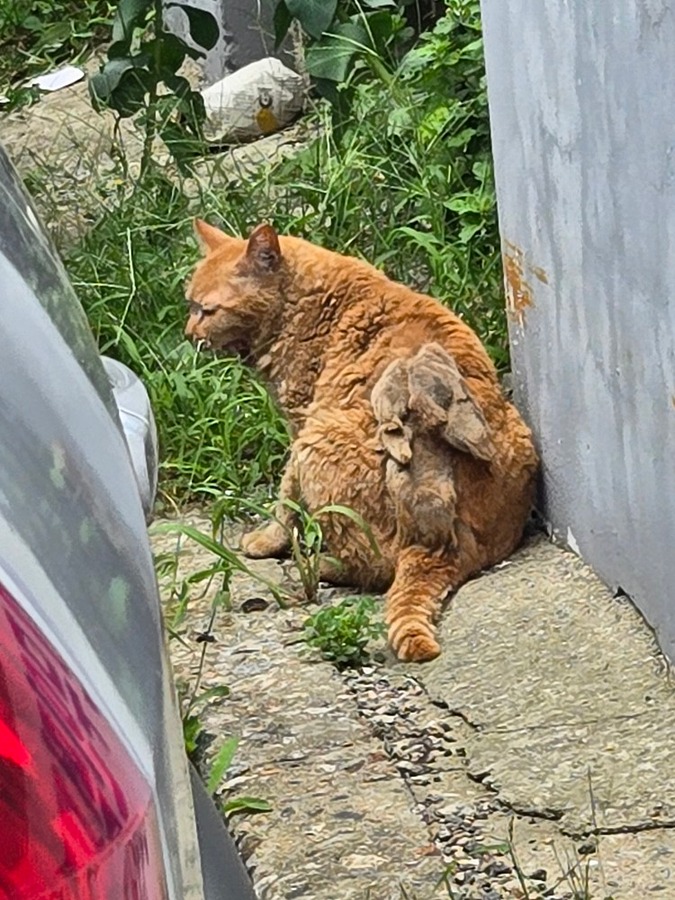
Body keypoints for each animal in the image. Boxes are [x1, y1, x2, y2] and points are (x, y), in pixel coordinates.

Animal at [185, 221, 540, 664]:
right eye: (189, 305)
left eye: (207, 310)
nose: (188, 334)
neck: (304, 303)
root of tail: (444, 547)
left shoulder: (299, 426)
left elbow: (285, 501)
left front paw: (266, 541)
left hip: (320, 442)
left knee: (377, 569)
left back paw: (321, 566)